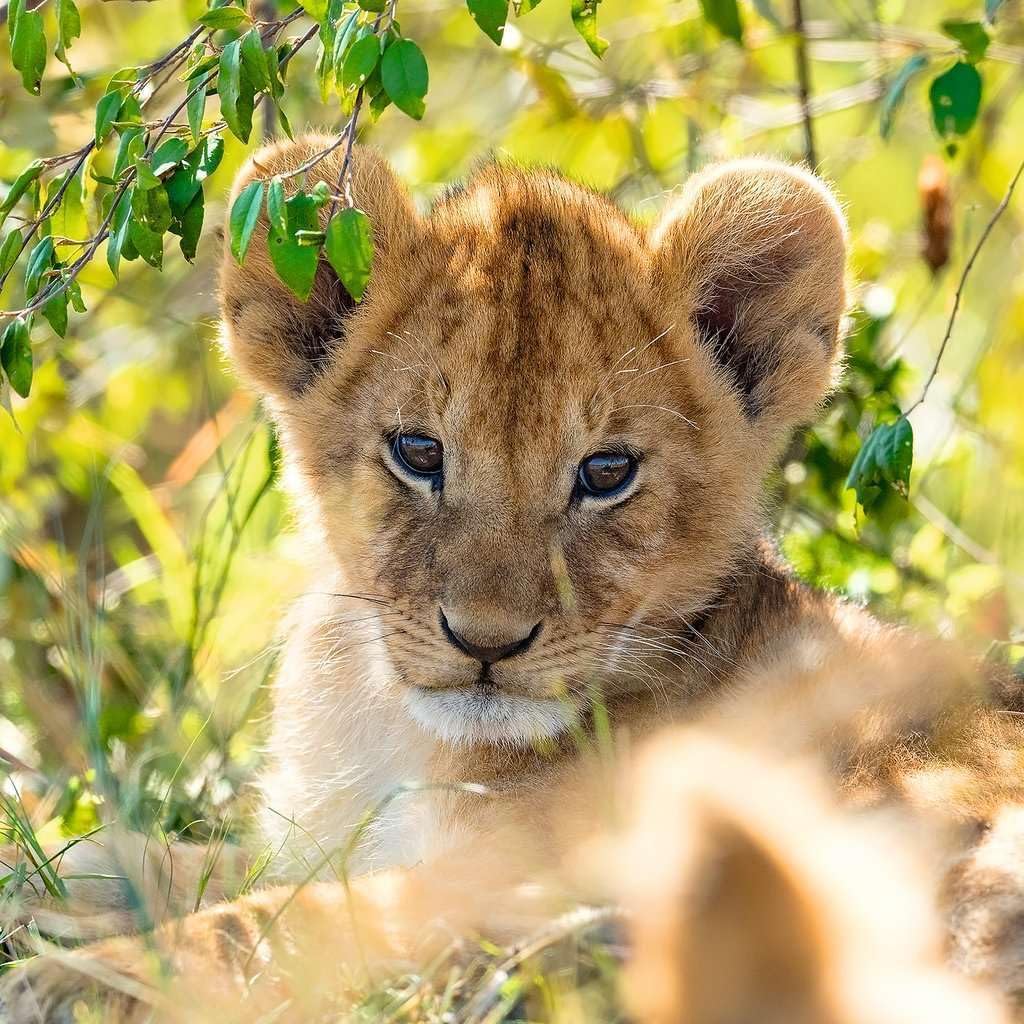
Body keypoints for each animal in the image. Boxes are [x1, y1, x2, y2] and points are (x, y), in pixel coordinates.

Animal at [2, 137, 1022, 1022]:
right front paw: (43, 880)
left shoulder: (509, 878)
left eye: (606, 472)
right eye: (418, 453)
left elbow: (278, 925)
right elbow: (160, 860)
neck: (386, 723)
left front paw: (70, 978)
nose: (486, 644)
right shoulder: (321, 840)